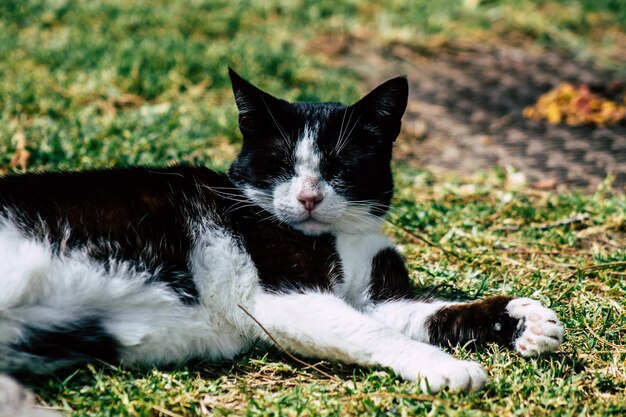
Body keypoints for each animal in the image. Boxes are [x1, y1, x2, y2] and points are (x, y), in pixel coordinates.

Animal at [0, 68, 564, 390]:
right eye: (282, 164)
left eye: (339, 165)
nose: (309, 196)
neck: (344, 236)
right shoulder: (280, 295)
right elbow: (369, 328)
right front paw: (442, 366)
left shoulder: (376, 295)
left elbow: (422, 313)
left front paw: (521, 319)